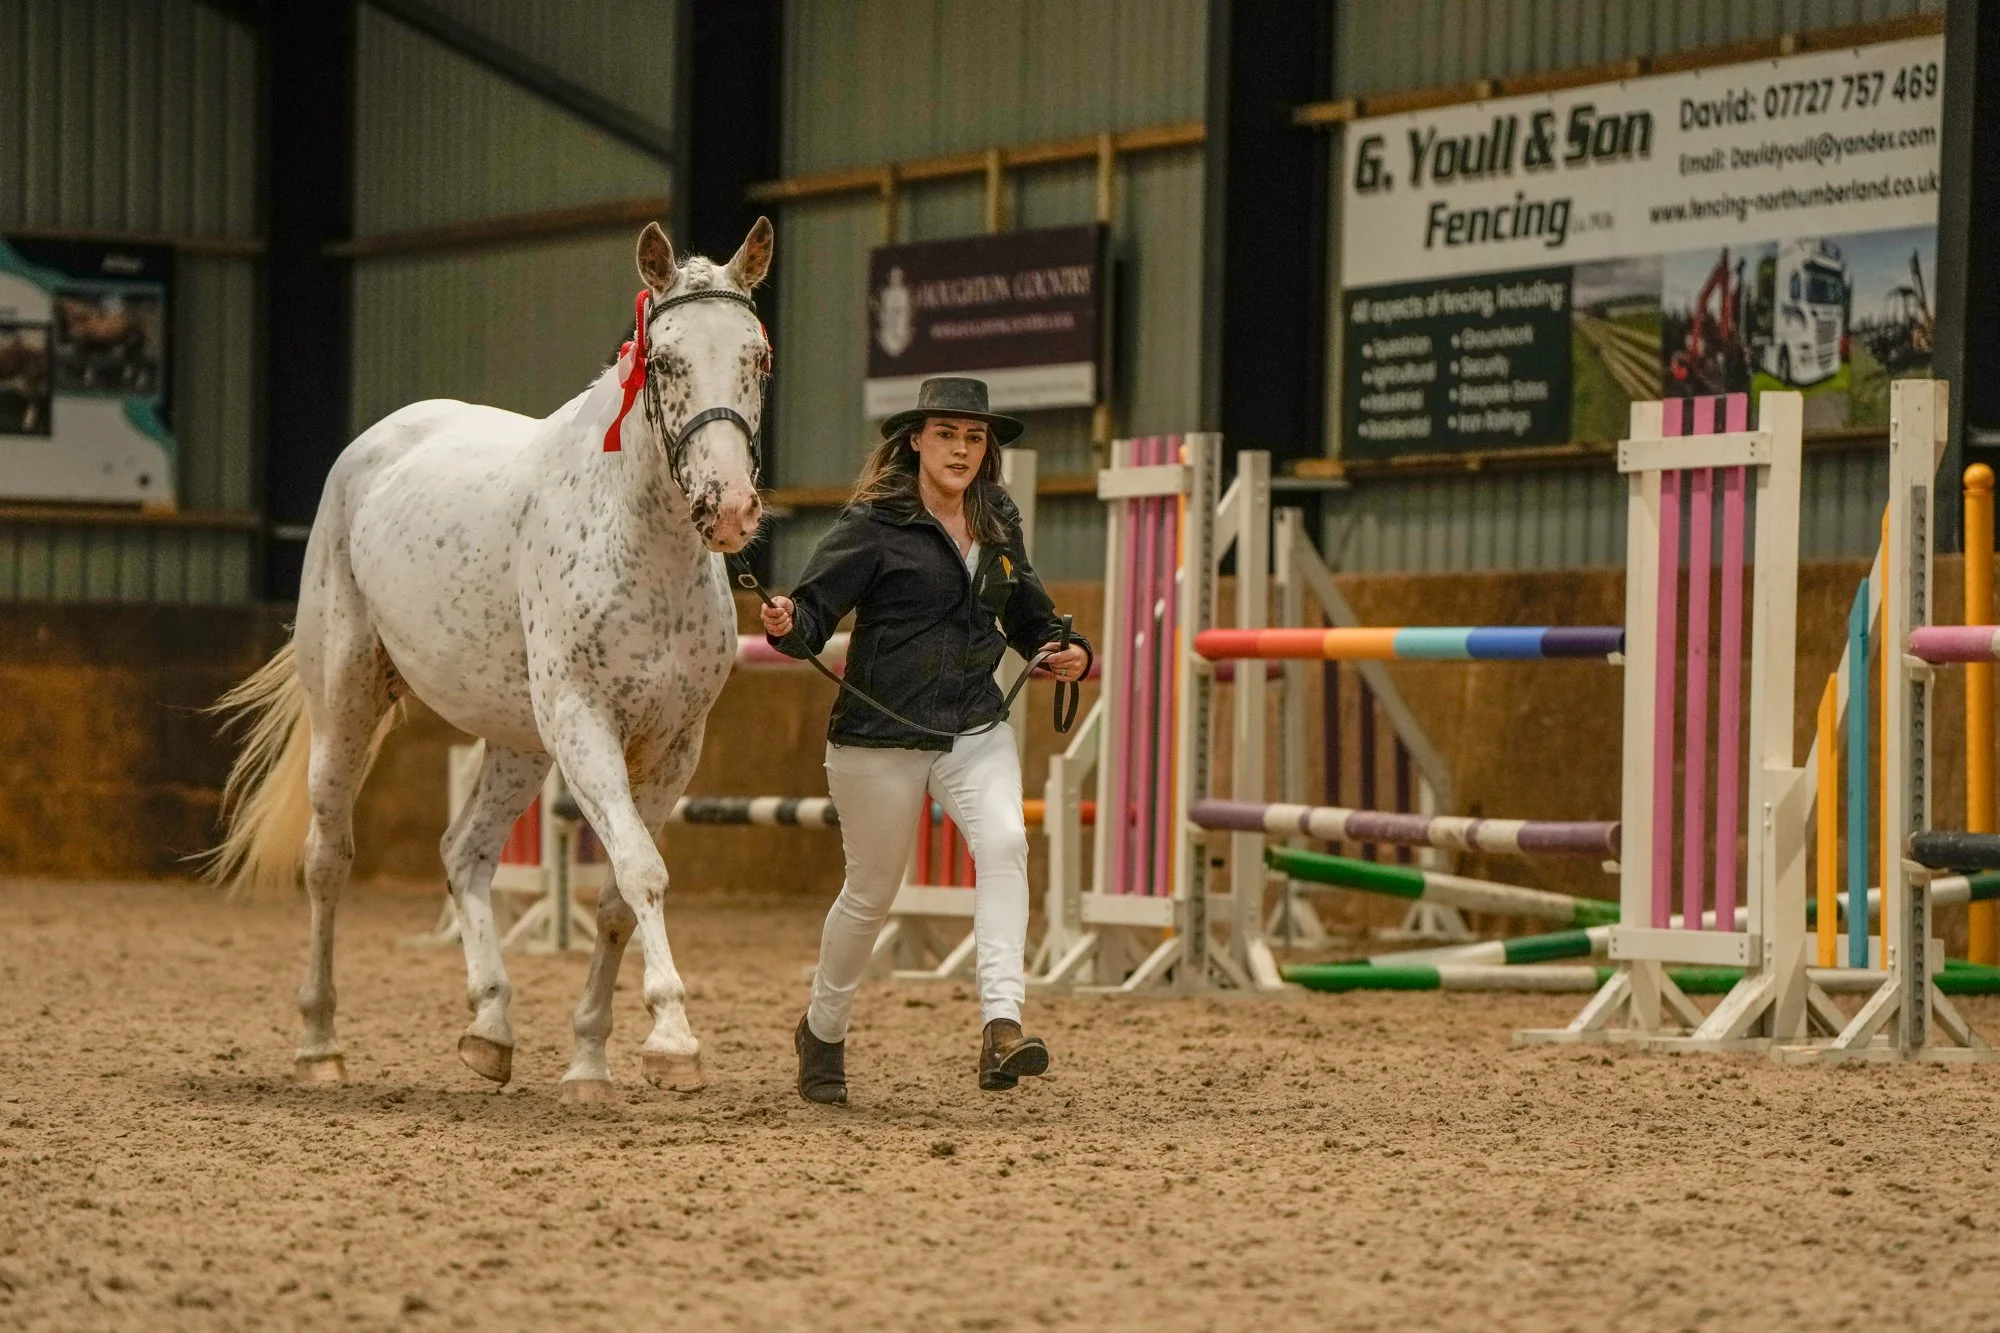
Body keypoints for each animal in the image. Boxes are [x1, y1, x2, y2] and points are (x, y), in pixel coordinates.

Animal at [208, 219, 772, 1101]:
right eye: (668, 362)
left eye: (758, 358)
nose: (731, 508)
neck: (642, 541)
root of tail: (372, 447)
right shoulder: (583, 722)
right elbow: (641, 871)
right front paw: (674, 1038)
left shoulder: (675, 745)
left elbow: (616, 896)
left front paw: (590, 1059)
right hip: (348, 704)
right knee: (328, 859)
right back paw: (320, 1043)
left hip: (516, 743)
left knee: (464, 852)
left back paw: (491, 1027)